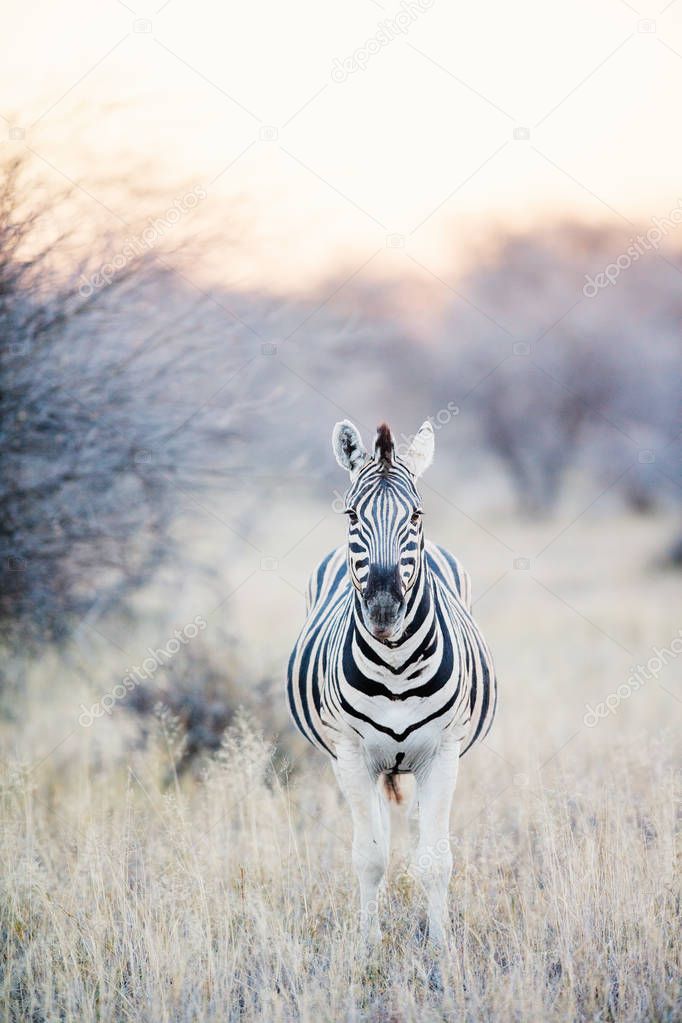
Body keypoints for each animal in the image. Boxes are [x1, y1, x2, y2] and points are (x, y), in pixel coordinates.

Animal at [286, 419, 498, 945]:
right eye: (351, 515)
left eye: (416, 515)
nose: (384, 611)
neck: (397, 666)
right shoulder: (350, 754)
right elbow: (370, 857)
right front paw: (368, 945)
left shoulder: (442, 753)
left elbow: (435, 861)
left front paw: (441, 948)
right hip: (360, 763)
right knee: (378, 829)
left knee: (421, 826)